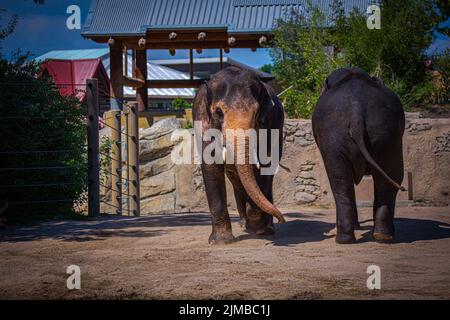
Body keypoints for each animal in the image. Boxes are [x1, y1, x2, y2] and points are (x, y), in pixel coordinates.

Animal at [192, 66, 284, 244]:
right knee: (236, 179)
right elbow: (210, 165)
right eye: (218, 112)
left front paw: (257, 225)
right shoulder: (201, 120)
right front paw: (221, 241)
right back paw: (246, 224)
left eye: (256, 112)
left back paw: (264, 228)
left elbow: (265, 164)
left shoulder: (269, 123)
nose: (282, 218)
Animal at [312, 67, 406, 242]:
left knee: (341, 180)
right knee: (388, 177)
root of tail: (356, 112)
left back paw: (350, 239)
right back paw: (380, 235)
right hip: (385, 133)